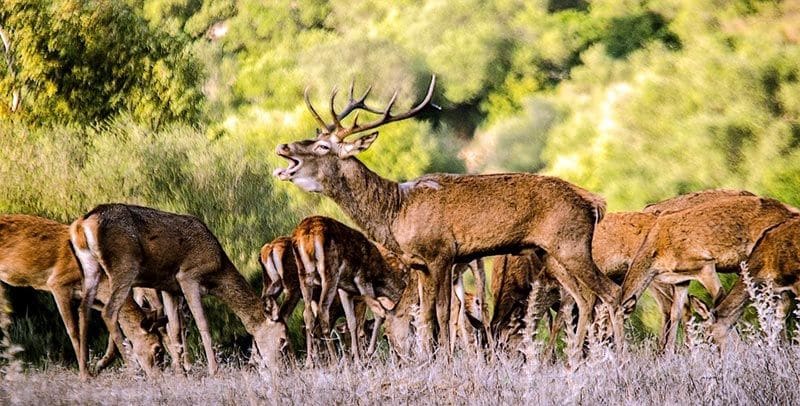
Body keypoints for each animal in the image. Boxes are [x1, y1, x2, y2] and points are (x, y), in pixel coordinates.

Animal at [0, 214, 163, 376]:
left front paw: (99, 365)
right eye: (157, 348)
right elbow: (73, 331)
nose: (159, 376)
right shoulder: (58, 282)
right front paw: (86, 374)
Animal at [71, 203, 290, 378]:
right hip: (124, 266)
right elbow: (202, 323)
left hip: (90, 269)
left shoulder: (169, 287)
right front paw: (214, 370)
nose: (283, 369)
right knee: (109, 312)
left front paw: (181, 371)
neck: (217, 274)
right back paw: (132, 369)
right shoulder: (187, 276)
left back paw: (85, 372)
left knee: (83, 310)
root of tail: (82, 225)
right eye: (282, 339)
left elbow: (175, 328)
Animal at [292, 216, 410, 362]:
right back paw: (334, 361)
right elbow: (378, 313)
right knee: (322, 311)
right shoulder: (363, 279)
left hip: (304, 274)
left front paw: (357, 358)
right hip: (330, 272)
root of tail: (306, 236)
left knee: (307, 315)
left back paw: (310, 361)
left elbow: (352, 322)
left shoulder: (345, 289)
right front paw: (368, 353)